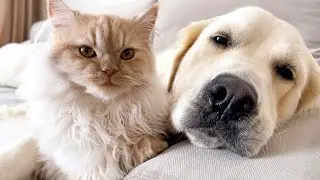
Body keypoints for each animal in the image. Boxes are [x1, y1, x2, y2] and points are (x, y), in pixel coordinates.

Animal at [19, 0, 171, 179]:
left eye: (127, 54)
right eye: (86, 51)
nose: (109, 70)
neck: (104, 114)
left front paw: (152, 147)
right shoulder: (87, 168)